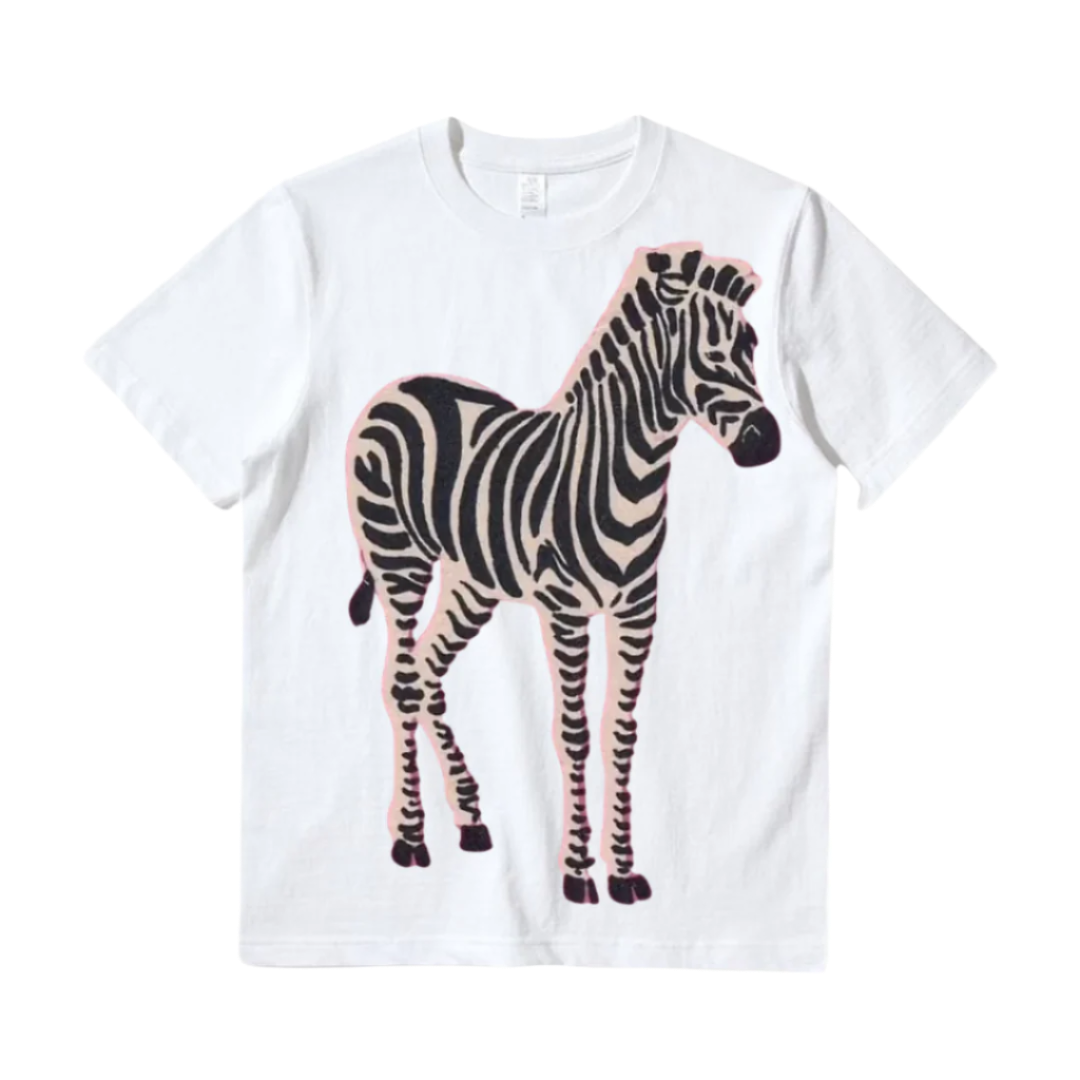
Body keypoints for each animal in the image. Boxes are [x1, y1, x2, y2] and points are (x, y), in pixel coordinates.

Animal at [345, 241, 781, 905]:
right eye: (708, 354)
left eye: (752, 345)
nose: (768, 443)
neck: (627, 475)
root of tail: (401, 387)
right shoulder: (567, 610)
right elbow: (573, 732)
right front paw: (577, 871)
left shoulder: (638, 609)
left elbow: (620, 733)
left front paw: (623, 870)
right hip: (400, 560)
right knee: (402, 681)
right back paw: (413, 836)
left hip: (473, 584)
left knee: (427, 671)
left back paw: (470, 819)